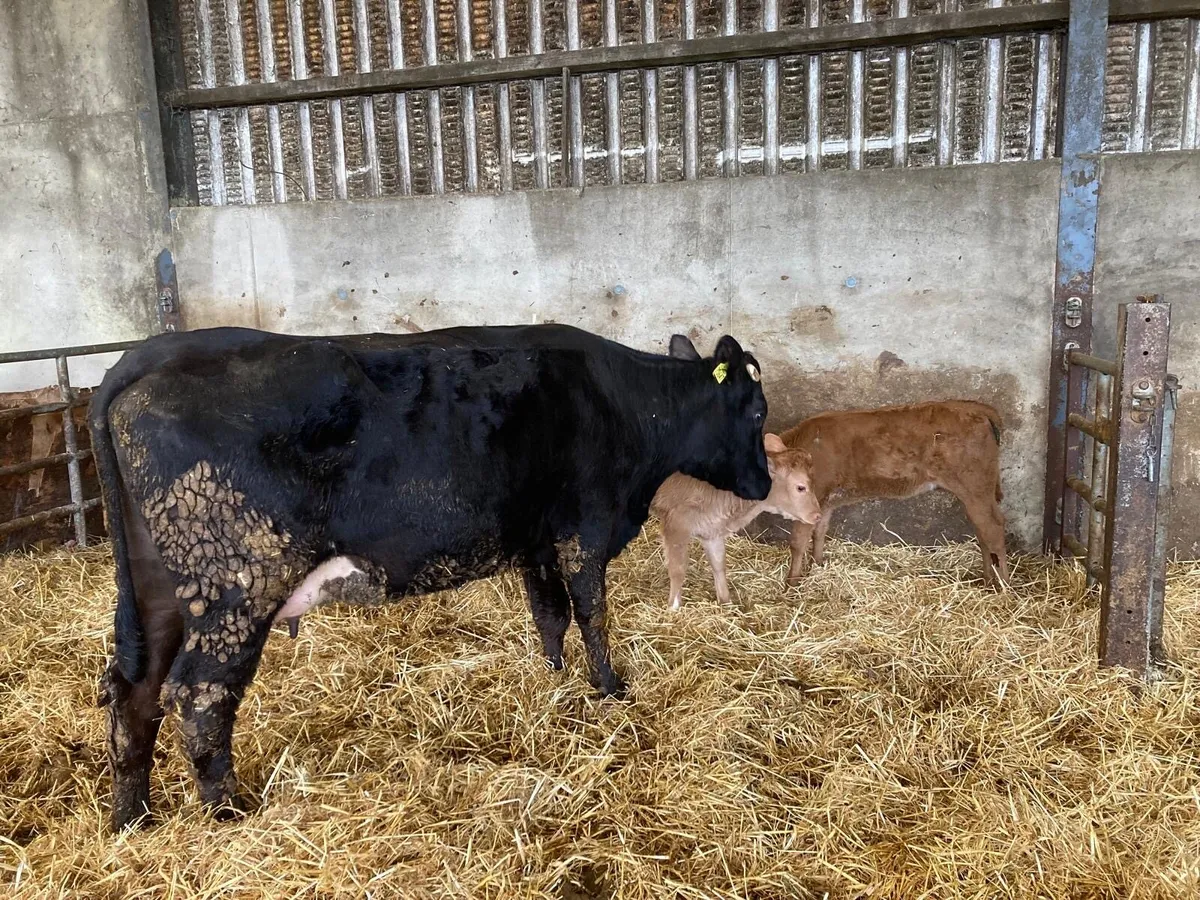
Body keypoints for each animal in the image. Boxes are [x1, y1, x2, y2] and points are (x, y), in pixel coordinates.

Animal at [90, 324, 770, 831]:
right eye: (758, 409)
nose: (764, 484)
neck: (627, 406)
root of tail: (147, 356)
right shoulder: (585, 527)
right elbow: (592, 612)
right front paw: (611, 690)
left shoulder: (534, 540)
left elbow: (549, 616)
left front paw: (554, 682)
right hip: (238, 579)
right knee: (199, 693)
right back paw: (231, 813)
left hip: (161, 591)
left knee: (134, 692)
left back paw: (133, 818)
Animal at [650, 433, 820, 610]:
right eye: (800, 487)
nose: (818, 515)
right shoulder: (676, 523)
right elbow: (678, 568)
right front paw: (673, 608)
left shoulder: (712, 528)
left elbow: (718, 564)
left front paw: (726, 603)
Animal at [777, 401, 1007, 587]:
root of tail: (975, 408)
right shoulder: (825, 501)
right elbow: (819, 532)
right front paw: (816, 567)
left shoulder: (811, 498)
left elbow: (797, 541)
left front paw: (791, 585)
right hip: (978, 493)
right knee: (984, 532)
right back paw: (987, 580)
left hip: (975, 487)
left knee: (993, 529)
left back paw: (1002, 586)